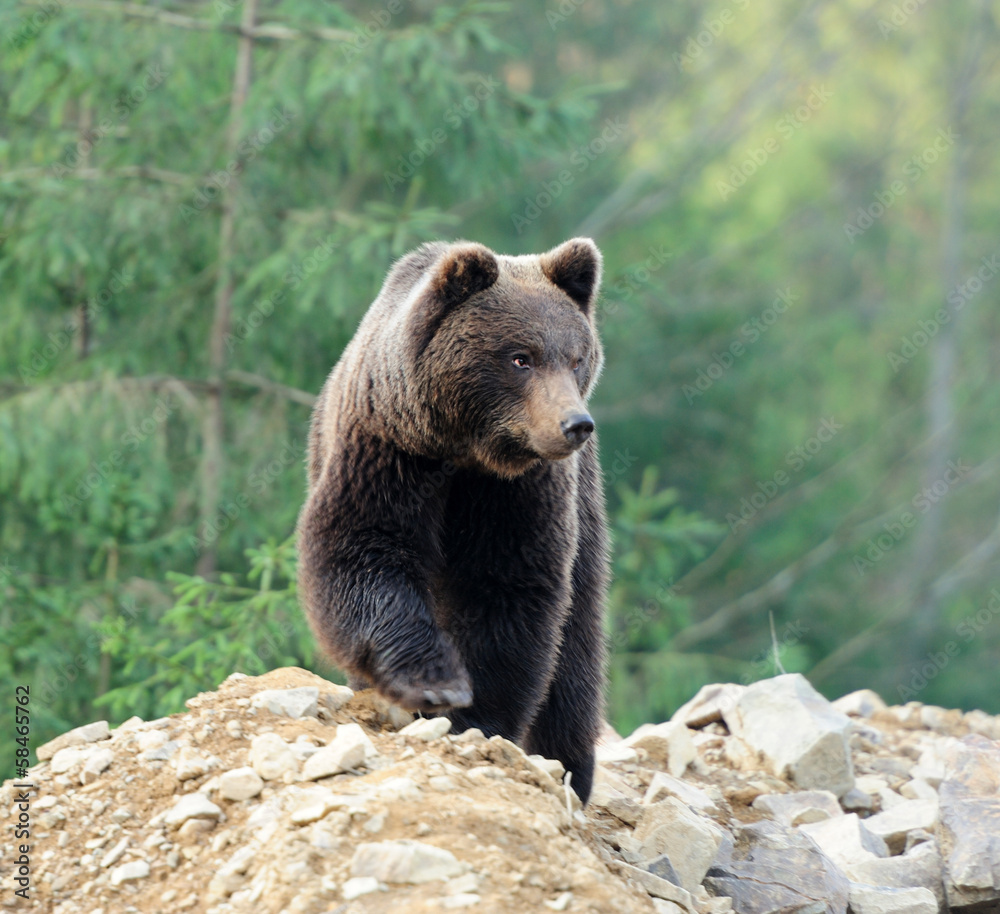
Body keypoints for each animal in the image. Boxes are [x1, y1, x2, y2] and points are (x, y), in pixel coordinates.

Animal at [296, 237, 609, 803]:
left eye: (577, 358)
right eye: (520, 357)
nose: (574, 424)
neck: (463, 449)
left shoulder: (519, 490)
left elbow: (506, 588)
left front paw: (475, 717)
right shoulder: (385, 447)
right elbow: (362, 550)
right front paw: (435, 681)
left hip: (587, 512)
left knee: (577, 642)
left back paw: (570, 765)